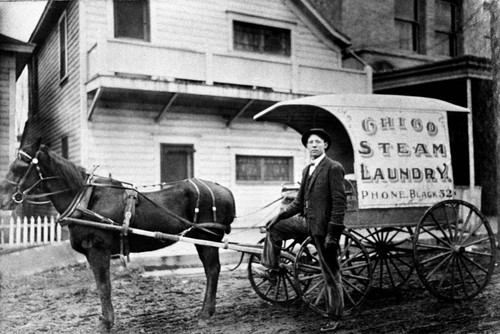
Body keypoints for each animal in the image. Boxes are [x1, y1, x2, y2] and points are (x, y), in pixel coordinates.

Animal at [0, 140, 236, 332]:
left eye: (20, 165)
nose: (3, 199)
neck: (86, 200)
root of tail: (224, 190)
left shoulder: (98, 250)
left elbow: (104, 286)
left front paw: (106, 322)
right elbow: (101, 286)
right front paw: (105, 319)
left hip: (207, 239)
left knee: (212, 270)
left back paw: (205, 314)